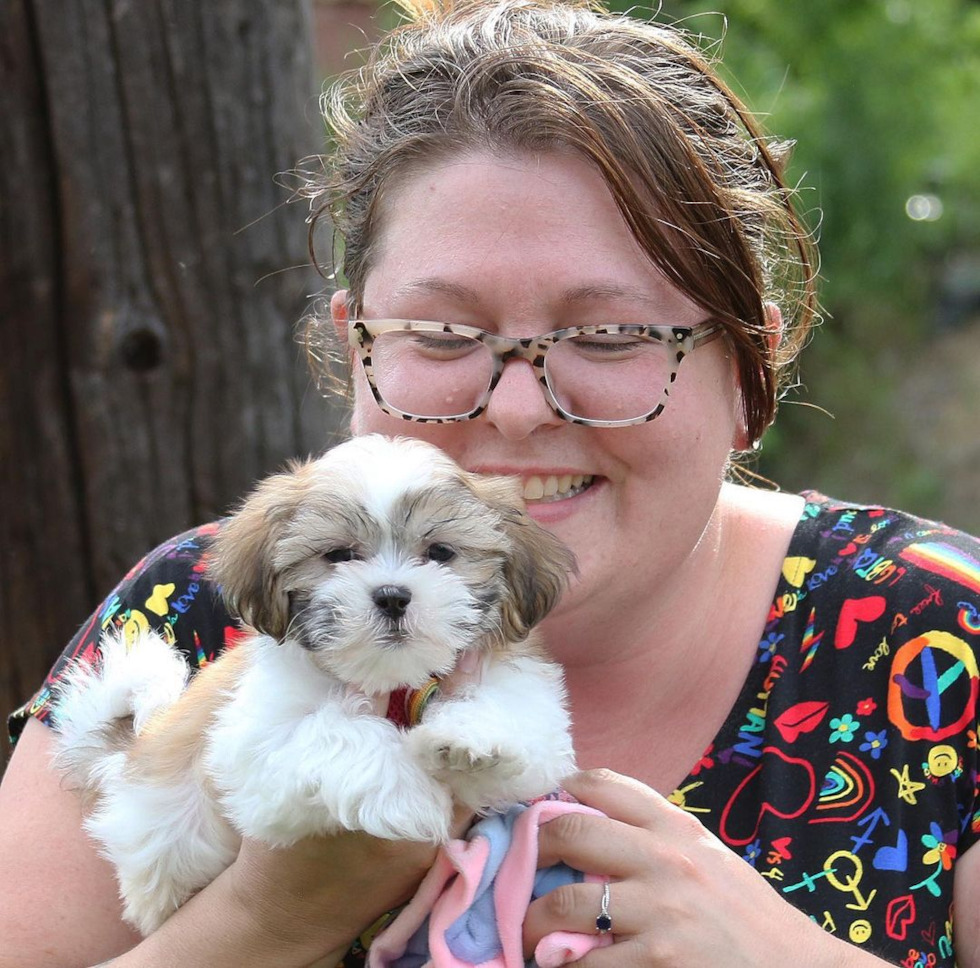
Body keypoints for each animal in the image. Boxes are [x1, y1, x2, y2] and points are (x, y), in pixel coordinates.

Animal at [51, 436, 576, 936]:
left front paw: (471, 742)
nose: (392, 595)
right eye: (338, 555)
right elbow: (331, 733)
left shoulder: (516, 680)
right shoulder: (254, 741)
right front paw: (408, 793)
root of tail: (126, 756)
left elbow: (519, 713)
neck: (390, 677)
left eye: (440, 553)